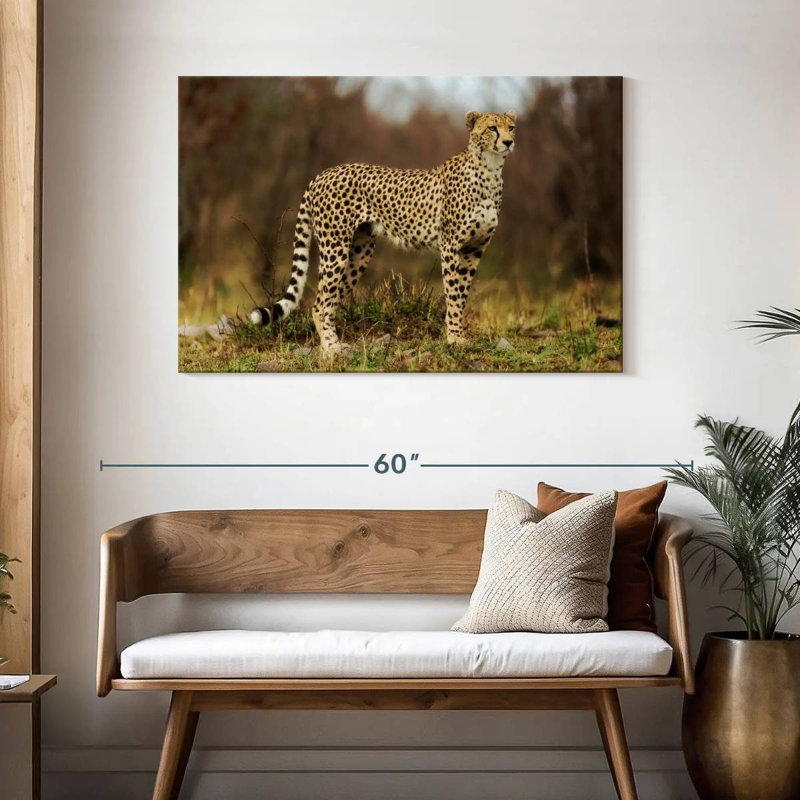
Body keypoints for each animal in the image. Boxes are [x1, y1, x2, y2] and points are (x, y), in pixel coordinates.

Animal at [250, 110, 517, 354]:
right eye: (492, 128)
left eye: (511, 127)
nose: (508, 142)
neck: (490, 170)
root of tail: (324, 173)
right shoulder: (451, 246)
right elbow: (452, 293)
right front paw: (453, 338)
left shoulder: (474, 249)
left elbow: (462, 294)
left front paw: (458, 335)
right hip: (335, 249)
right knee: (320, 302)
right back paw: (330, 348)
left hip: (360, 253)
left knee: (329, 300)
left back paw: (334, 343)